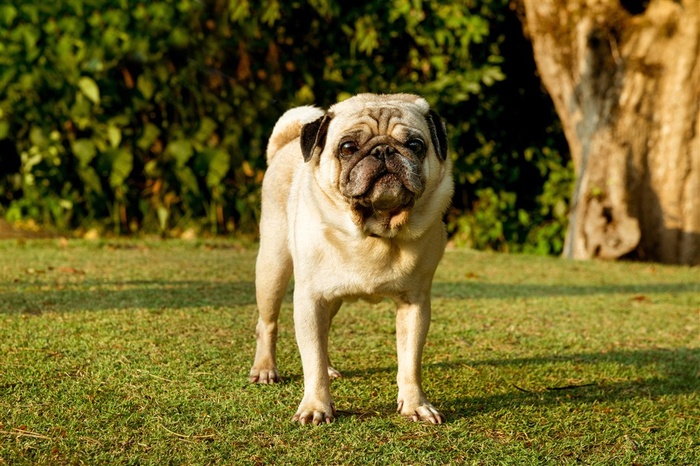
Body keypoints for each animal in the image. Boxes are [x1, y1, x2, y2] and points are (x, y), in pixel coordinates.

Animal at [249, 93, 452, 424]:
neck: (375, 232)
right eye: (347, 148)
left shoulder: (415, 305)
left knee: (323, 335)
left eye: (415, 145)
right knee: (268, 324)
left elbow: (410, 362)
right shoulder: (309, 300)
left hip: (331, 298)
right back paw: (265, 368)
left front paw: (415, 404)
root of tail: (285, 144)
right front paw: (316, 406)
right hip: (272, 268)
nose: (384, 150)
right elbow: (311, 359)